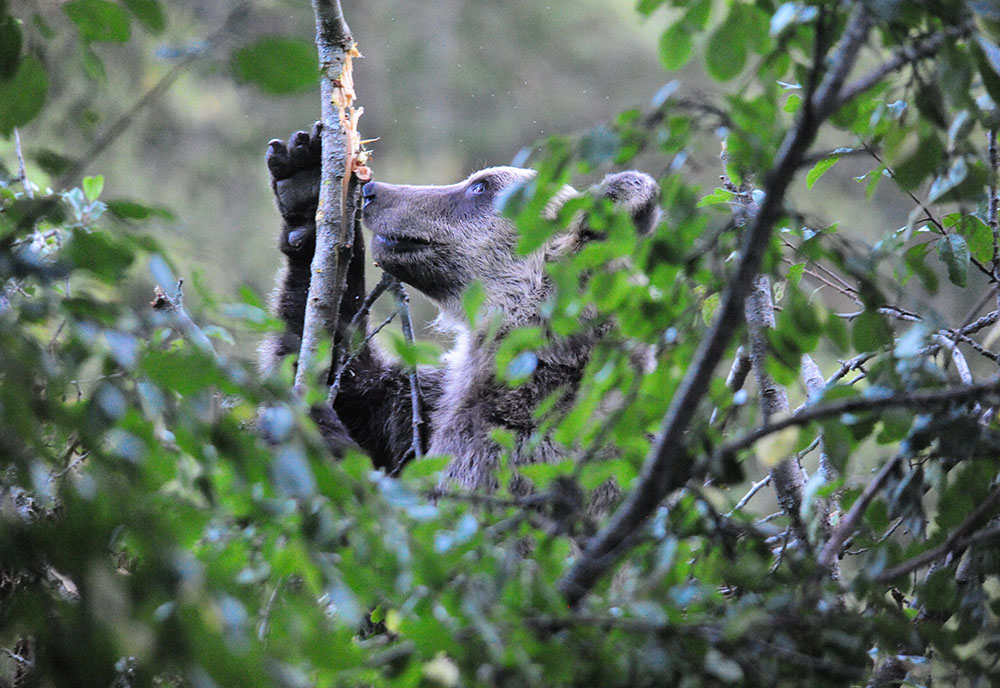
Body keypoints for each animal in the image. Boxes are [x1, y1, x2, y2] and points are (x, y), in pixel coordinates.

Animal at [262, 123, 660, 490]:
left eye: (480, 186)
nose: (375, 192)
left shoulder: (516, 446)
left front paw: (313, 426)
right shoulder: (431, 402)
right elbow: (361, 388)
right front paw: (304, 182)